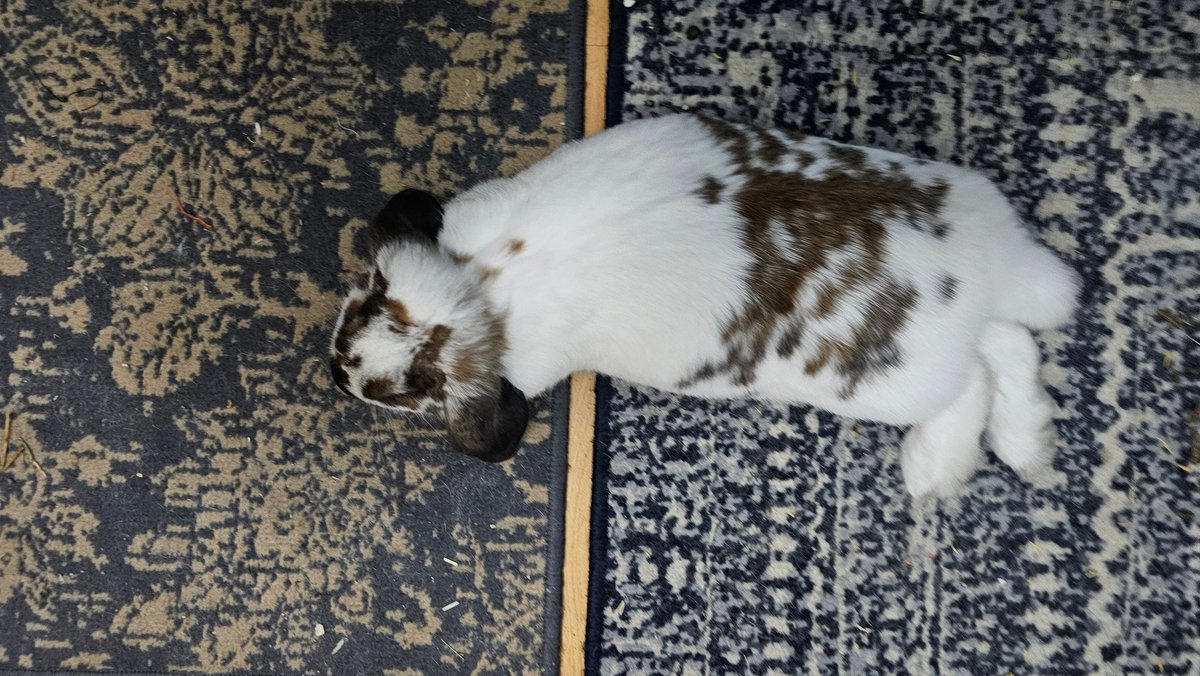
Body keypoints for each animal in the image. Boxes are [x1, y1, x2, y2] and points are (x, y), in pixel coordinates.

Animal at [329, 113, 1079, 498]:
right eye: (370, 290)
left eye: (407, 392)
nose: (338, 373)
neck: (483, 289)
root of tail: (987, 264)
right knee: (1010, 344)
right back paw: (1029, 444)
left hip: (898, 385)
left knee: (977, 376)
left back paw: (936, 470)